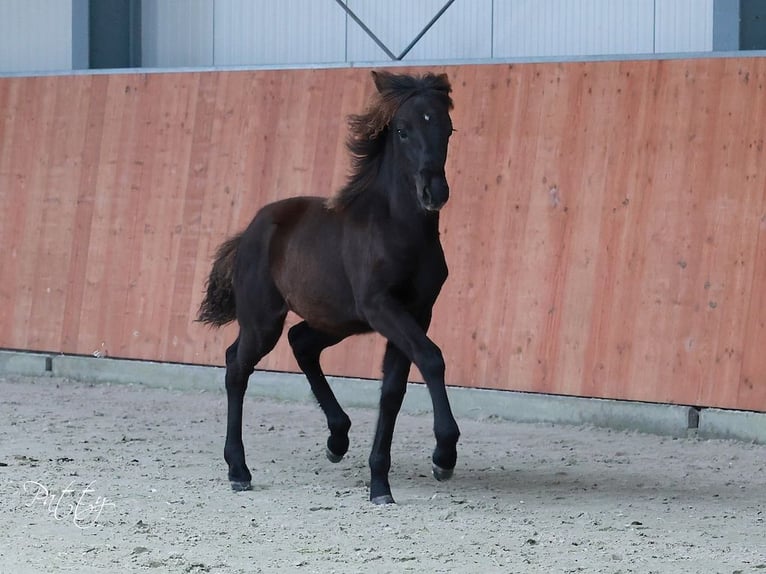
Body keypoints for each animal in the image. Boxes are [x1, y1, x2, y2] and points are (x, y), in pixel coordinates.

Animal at [200, 71, 462, 504]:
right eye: (403, 130)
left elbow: (393, 391)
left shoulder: (415, 312)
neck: (399, 229)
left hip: (335, 321)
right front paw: (444, 454)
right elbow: (432, 358)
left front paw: (380, 484)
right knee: (237, 365)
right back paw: (238, 470)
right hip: (263, 320)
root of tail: (251, 229)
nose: (434, 192)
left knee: (301, 343)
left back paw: (337, 438)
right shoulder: (381, 307)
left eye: (448, 128)